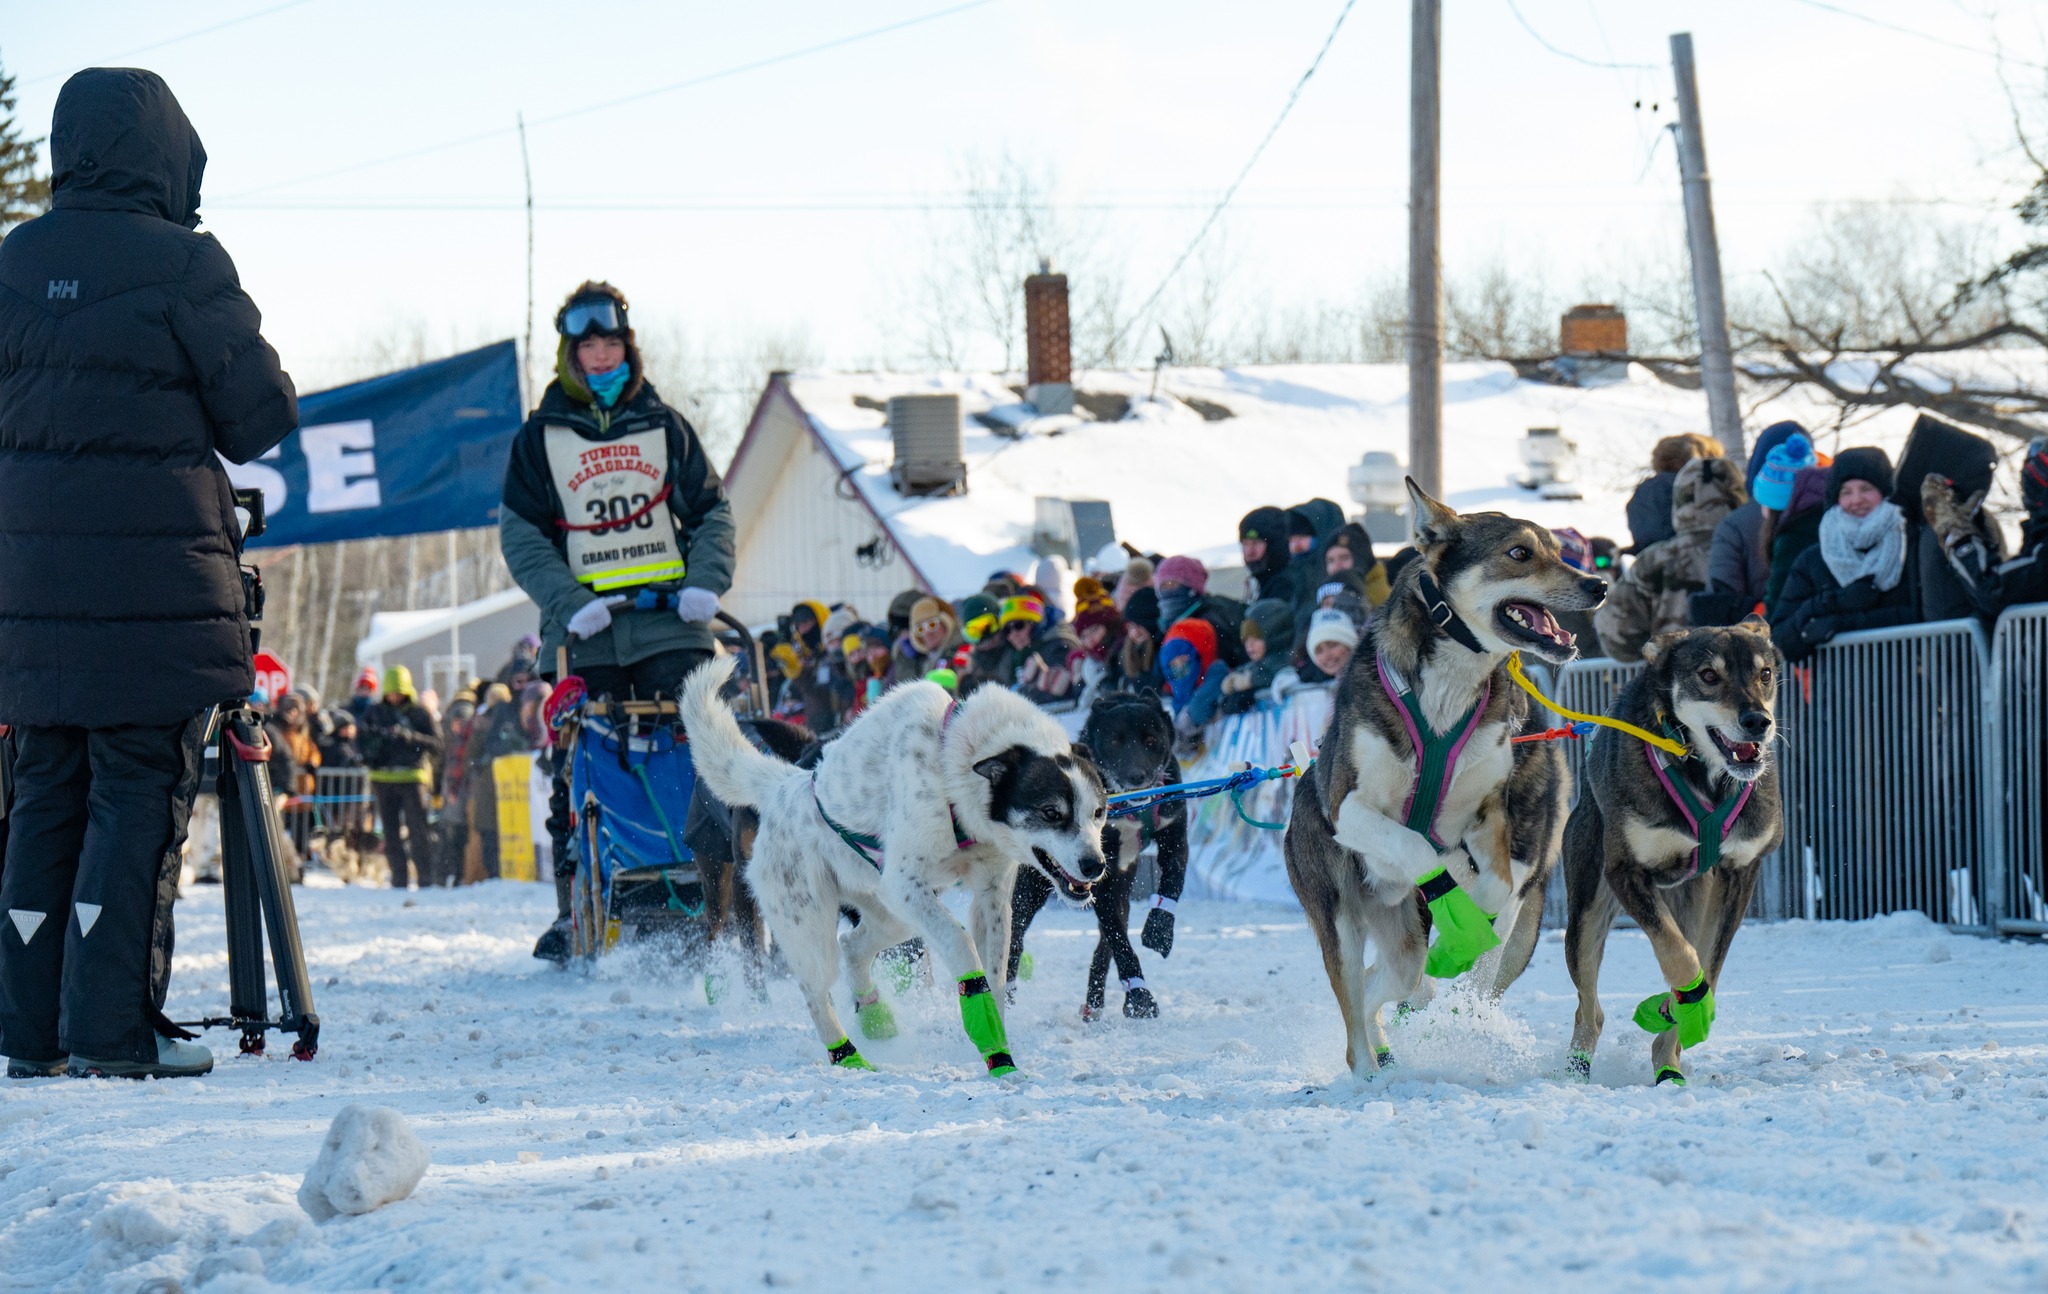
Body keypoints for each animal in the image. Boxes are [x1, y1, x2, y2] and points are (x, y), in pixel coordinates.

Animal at [679, 655, 1105, 1072]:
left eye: (1099, 812)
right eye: (1051, 812)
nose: (1095, 865)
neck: (951, 762)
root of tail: (790, 785)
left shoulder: (990, 897)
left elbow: (997, 976)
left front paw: (998, 1044)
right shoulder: (904, 883)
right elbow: (962, 946)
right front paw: (984, 1027)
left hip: (893, 915)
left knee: (852, 945)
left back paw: (876, 1018)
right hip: (815, 927)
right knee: (816, 992)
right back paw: (848, 1057)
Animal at [1277, 481, 1597, 1072]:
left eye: (1556, 548)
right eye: (1520, 552)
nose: (1599, 584)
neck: (1449, 687)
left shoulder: (1490, 813)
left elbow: (1497, 887)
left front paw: (1470, 918)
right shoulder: (1350, 808)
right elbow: (1414, 844)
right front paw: (1452, 898)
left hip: (1403, 935)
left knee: (1395, 981)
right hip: (1340, 918)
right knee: (1358, 1014)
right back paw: (1368, 1071)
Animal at [1556, 622, 1785, 1089]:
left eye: (1766, 673)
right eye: (1709, 675)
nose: (1758, 721)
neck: (1704, 776)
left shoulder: (1740, 873)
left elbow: (1709, 963)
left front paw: (1685, 1012)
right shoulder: (1626, 872)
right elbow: (1678, 955)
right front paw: (1689, 999)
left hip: (1695, 900)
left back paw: (1667, 1060)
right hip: (1586, 912)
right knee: (1590, 1010)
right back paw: (1577, 1070)